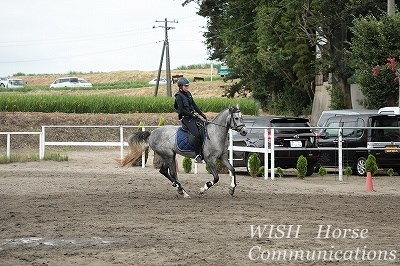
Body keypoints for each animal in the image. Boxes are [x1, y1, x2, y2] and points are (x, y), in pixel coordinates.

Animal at [120, 105, 248, 198]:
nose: (244, 131)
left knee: (166, 172)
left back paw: (181, 190)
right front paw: (203, 189)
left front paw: (232, 189)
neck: (215, 133)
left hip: (170, 156)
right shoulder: (210, 160)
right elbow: (216, 178)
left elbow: (232, 169)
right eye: (236, 118)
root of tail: (152, 133)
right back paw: (182, 191)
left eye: (242, 117)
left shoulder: (223, 157)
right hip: (168, 155)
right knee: (169, 172)